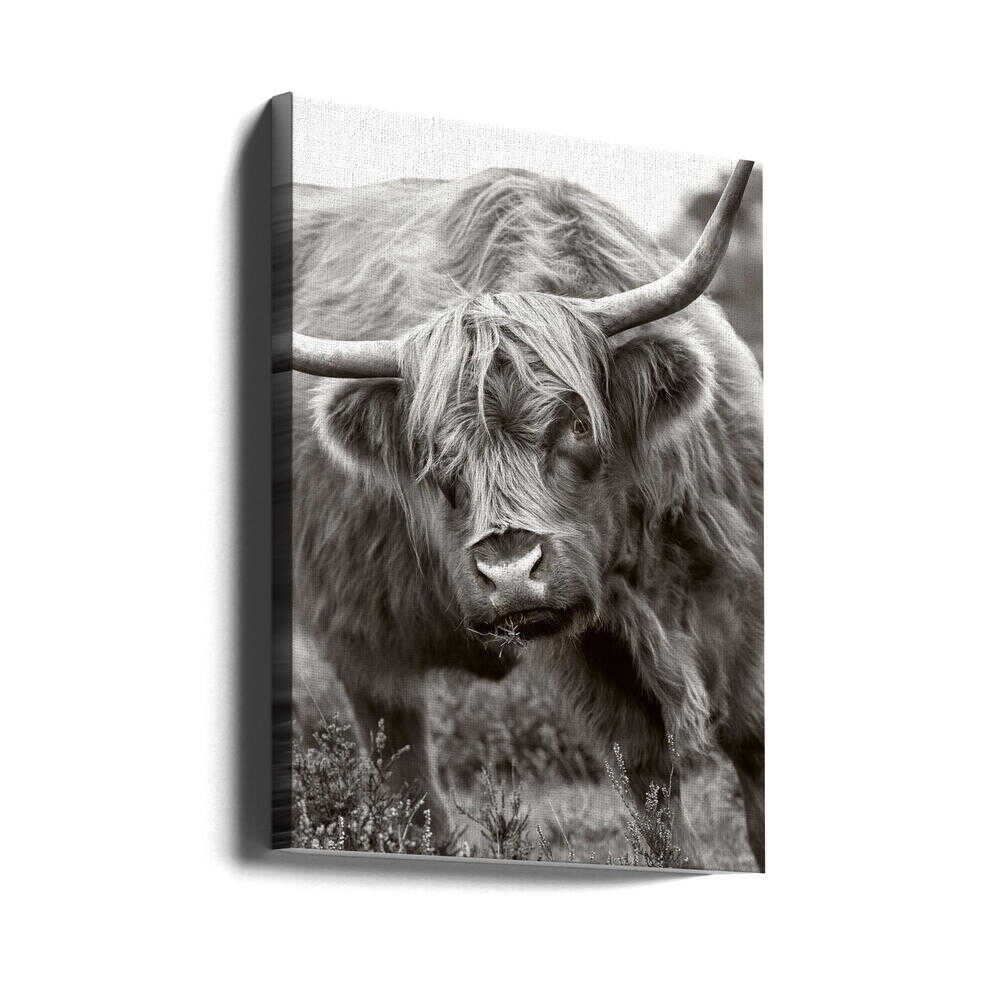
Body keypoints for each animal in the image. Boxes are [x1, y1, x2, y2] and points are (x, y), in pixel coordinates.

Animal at [289, 162, 764, 869]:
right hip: (361, 640)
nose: (510, 573)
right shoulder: (597, 656)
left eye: (576, 424)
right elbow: (651, 790)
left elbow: (754, 749)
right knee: (406, 775)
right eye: (434, 454)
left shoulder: (743, 595)